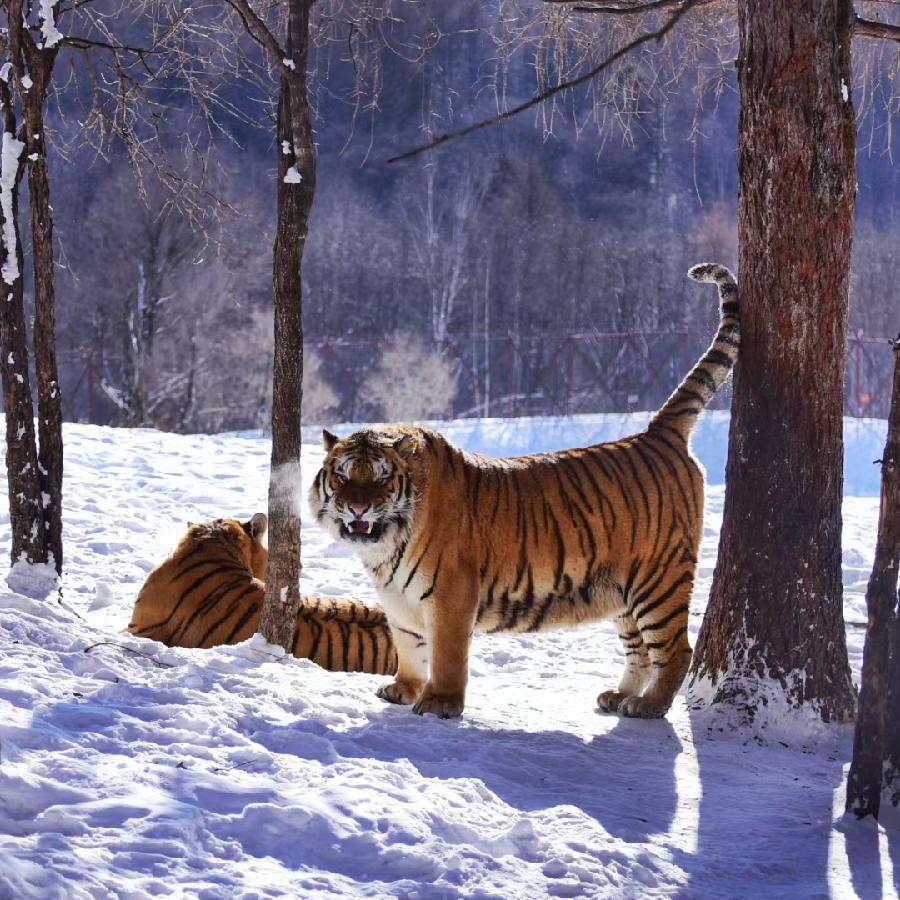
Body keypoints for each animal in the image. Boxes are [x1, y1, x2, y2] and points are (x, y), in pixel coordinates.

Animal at [308, 264, 739, 719]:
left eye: (380, 478)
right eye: (342, 476)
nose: (357, 508)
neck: (385, 547)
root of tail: (657, 433)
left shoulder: (451, 593)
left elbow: (446, 655)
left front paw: (440, 702)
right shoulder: (397, 600)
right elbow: (408, 646)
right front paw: (402, 688)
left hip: (659, 579)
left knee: (675, 650)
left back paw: (649, 705)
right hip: (622, 588)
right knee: (637, 648)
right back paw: (619, 696)